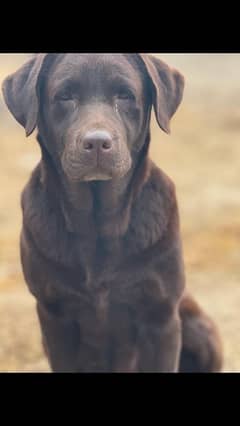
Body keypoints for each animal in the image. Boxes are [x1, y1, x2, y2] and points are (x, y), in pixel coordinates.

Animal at [2, 53, 223, 372]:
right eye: (64, 96)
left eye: (125, 95)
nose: (97, 142)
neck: (98, 224)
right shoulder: (55, 316)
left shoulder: (161, 317)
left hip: (199, 327)